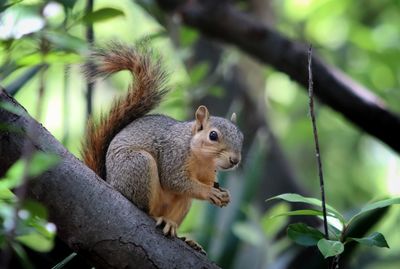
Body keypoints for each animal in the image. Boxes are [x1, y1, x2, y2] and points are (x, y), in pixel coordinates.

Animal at [81, 41, 244, 251]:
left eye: (241, 136)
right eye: (213, 135)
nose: (235, 160)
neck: (202, 159)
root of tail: (109, 180)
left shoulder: (208, 174)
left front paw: (225, 194)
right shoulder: (172, 156)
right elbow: (174, 181)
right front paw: (210, 192)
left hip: (182, 201)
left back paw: (179, 232)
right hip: (138, 166)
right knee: (144, 207)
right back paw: (156, 217)